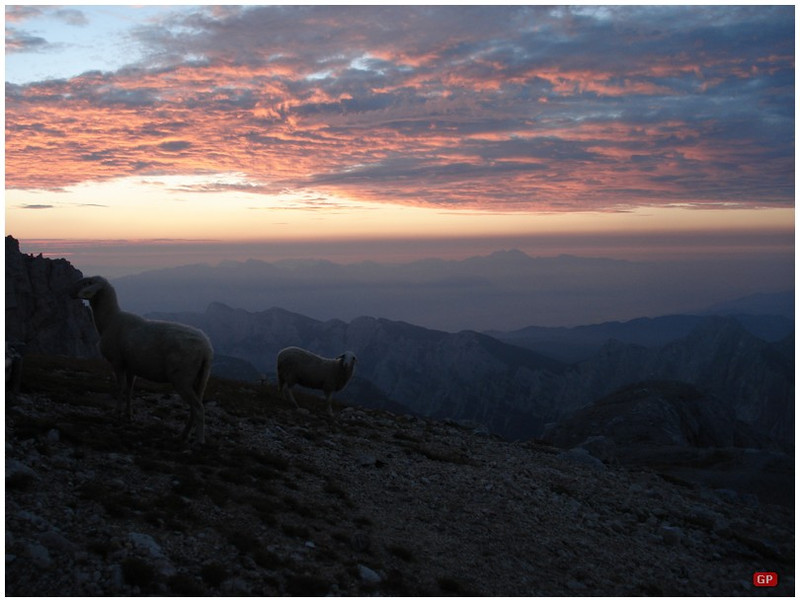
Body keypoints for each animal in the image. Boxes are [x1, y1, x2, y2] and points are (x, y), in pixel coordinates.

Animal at [71, 274, 212, 442]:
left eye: (89, 282)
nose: (70, 291)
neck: (109, 319)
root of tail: (206, 348)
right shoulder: (131, 366)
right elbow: (130, 389)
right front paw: (128, 414)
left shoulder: (117, 362)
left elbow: (120, 387)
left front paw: (117, 412)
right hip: (199, 379)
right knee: (194, 407)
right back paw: (183, 435)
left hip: (182, 378)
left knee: (198, 408)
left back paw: (199, 440)